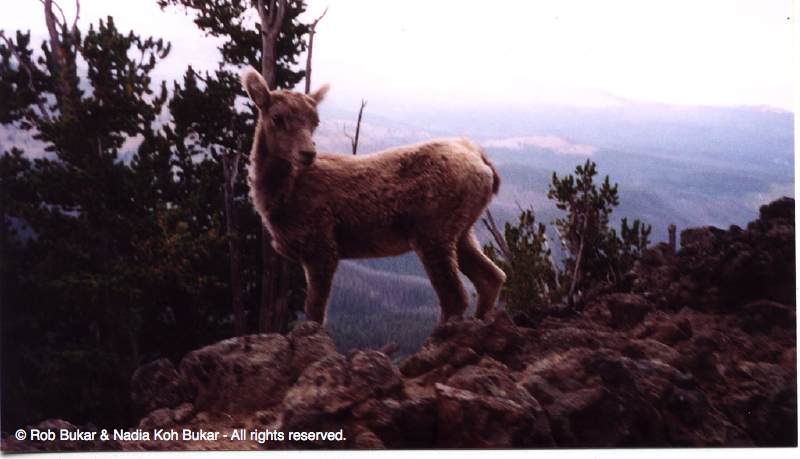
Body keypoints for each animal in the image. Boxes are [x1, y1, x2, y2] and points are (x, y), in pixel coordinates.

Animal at [240, 67, 506, 325]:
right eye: (277, 118)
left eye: (315, 120)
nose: (308, 153)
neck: (281, 197)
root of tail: (485, 165)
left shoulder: (322, 245)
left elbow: (314, 313)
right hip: (461, 231)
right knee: (491, 277)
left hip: (434, 230)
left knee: (456, 296)